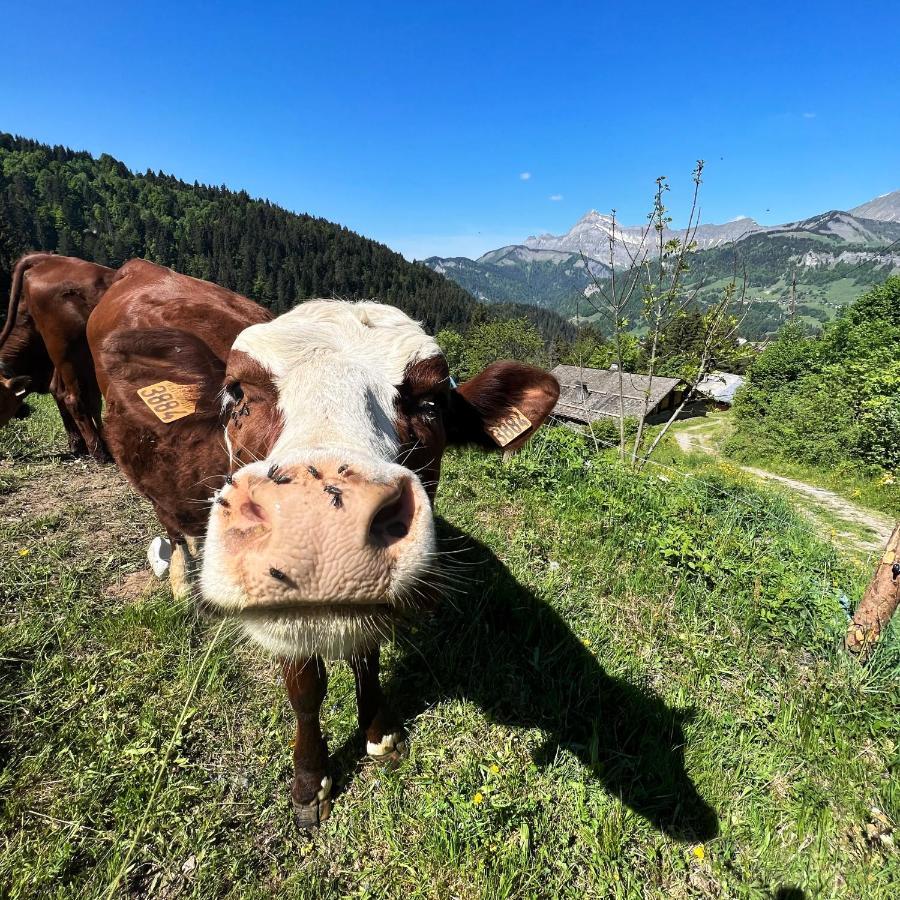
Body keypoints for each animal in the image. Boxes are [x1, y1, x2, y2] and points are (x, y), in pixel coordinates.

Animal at [88, 256, 560, 828]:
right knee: (175, 531)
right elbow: (306, 689)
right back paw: (185, 584)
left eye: (431, 403)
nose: (318, 524)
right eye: (236, 393)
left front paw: (380, 734)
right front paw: (310, 782)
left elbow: (367, 658)